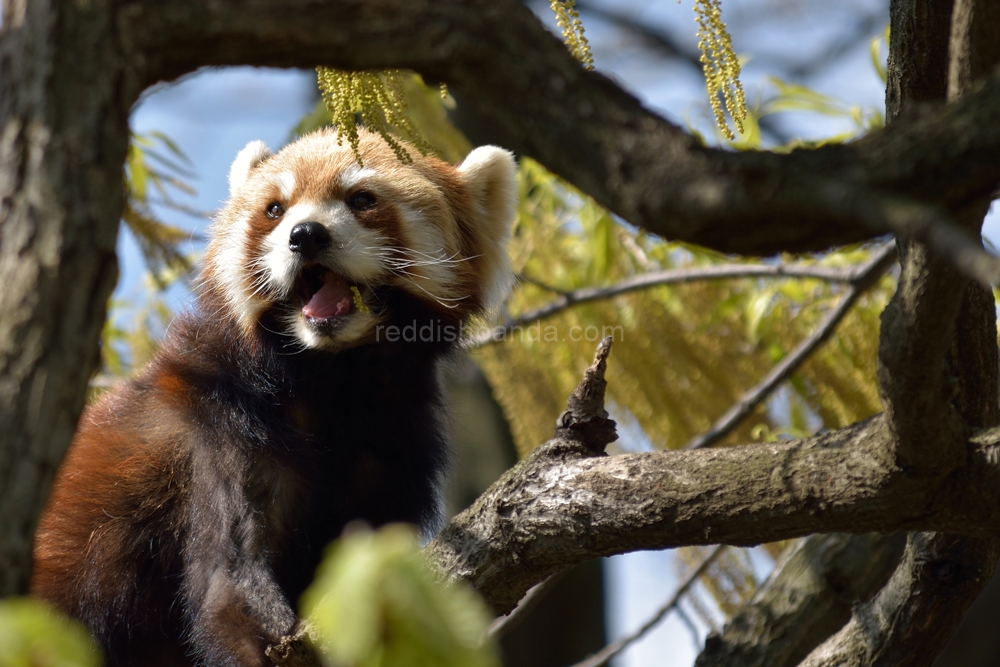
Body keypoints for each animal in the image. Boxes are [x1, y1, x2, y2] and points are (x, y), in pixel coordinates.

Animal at [31, 130, 516, 667]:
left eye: (362, 199)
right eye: (275, 209)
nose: (305, 235)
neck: (333, 378)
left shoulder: (395, 443)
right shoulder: (224, 425)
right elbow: (229, 583)